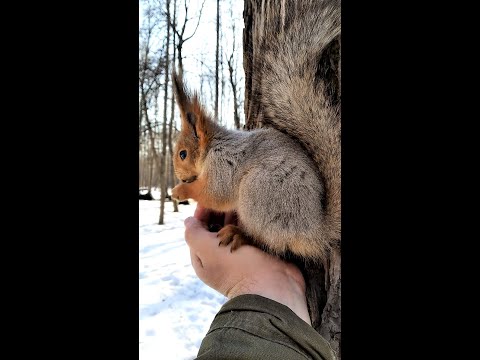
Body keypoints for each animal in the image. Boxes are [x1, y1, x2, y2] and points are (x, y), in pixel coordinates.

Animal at [171, 0, 340, 332]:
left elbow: (215, 194)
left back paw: (240, 234)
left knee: (268, 240)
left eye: (183, 154)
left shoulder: (224, 165)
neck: (213, 148)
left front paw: (181, 190)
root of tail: (314, 229)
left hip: (260, 194)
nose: (177, 173)